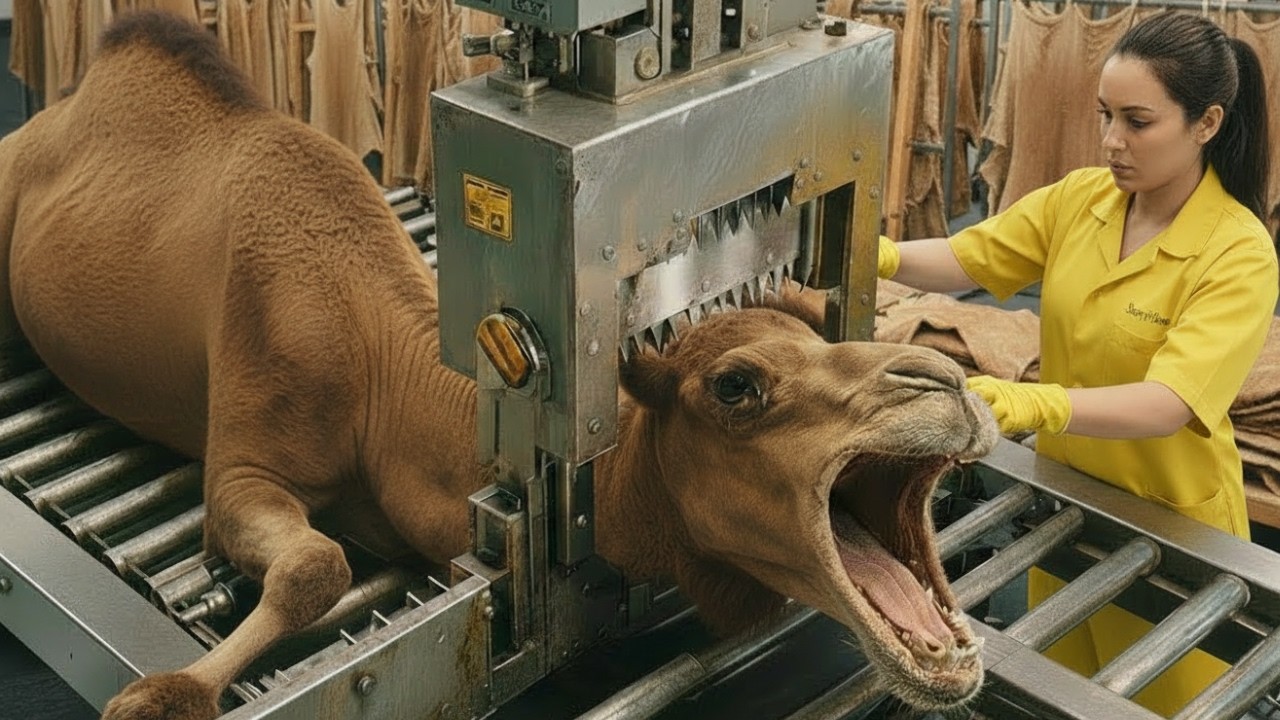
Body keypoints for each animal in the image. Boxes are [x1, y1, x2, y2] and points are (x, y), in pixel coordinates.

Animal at [0, 12, 999, 719]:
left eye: (821, 330)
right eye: (736, 387)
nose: (942, 383)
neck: (388, 386)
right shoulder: (245, 455)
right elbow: (317, 565)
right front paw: (164, 694)